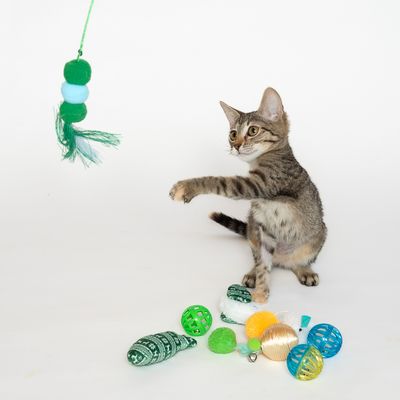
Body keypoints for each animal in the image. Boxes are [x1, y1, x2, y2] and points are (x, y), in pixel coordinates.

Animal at [169, 87, 327, 303]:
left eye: (253, 131)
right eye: (233, 134)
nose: (235, 145)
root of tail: (282, 259)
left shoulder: (260, 184)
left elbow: (219, 182)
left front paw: (187, 187)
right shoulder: (263, 229)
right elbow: (263, 265)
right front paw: (261, 291)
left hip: (318, 236)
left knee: (297, 261)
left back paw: (304, 269)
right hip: (253, 228)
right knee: (261, 258)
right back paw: (254, 273)